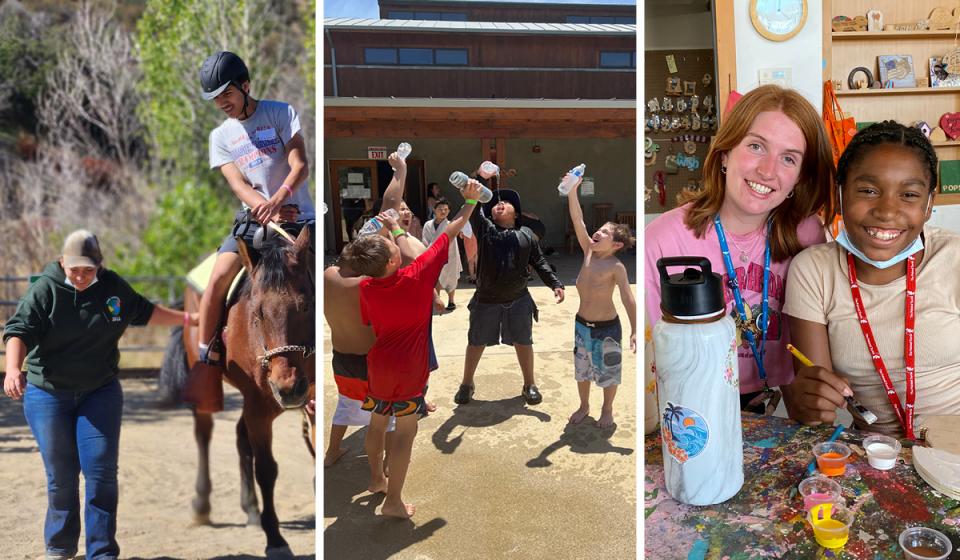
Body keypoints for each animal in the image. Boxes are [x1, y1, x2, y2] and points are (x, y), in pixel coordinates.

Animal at [178, 225, 316, 556]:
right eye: (258, 313)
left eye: (306, 305)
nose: (288, 386)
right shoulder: (260, 404)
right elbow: (266, 469)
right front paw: (276, 540)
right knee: (204, 433)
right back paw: (202, 505)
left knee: (241, 438)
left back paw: (251, 508)